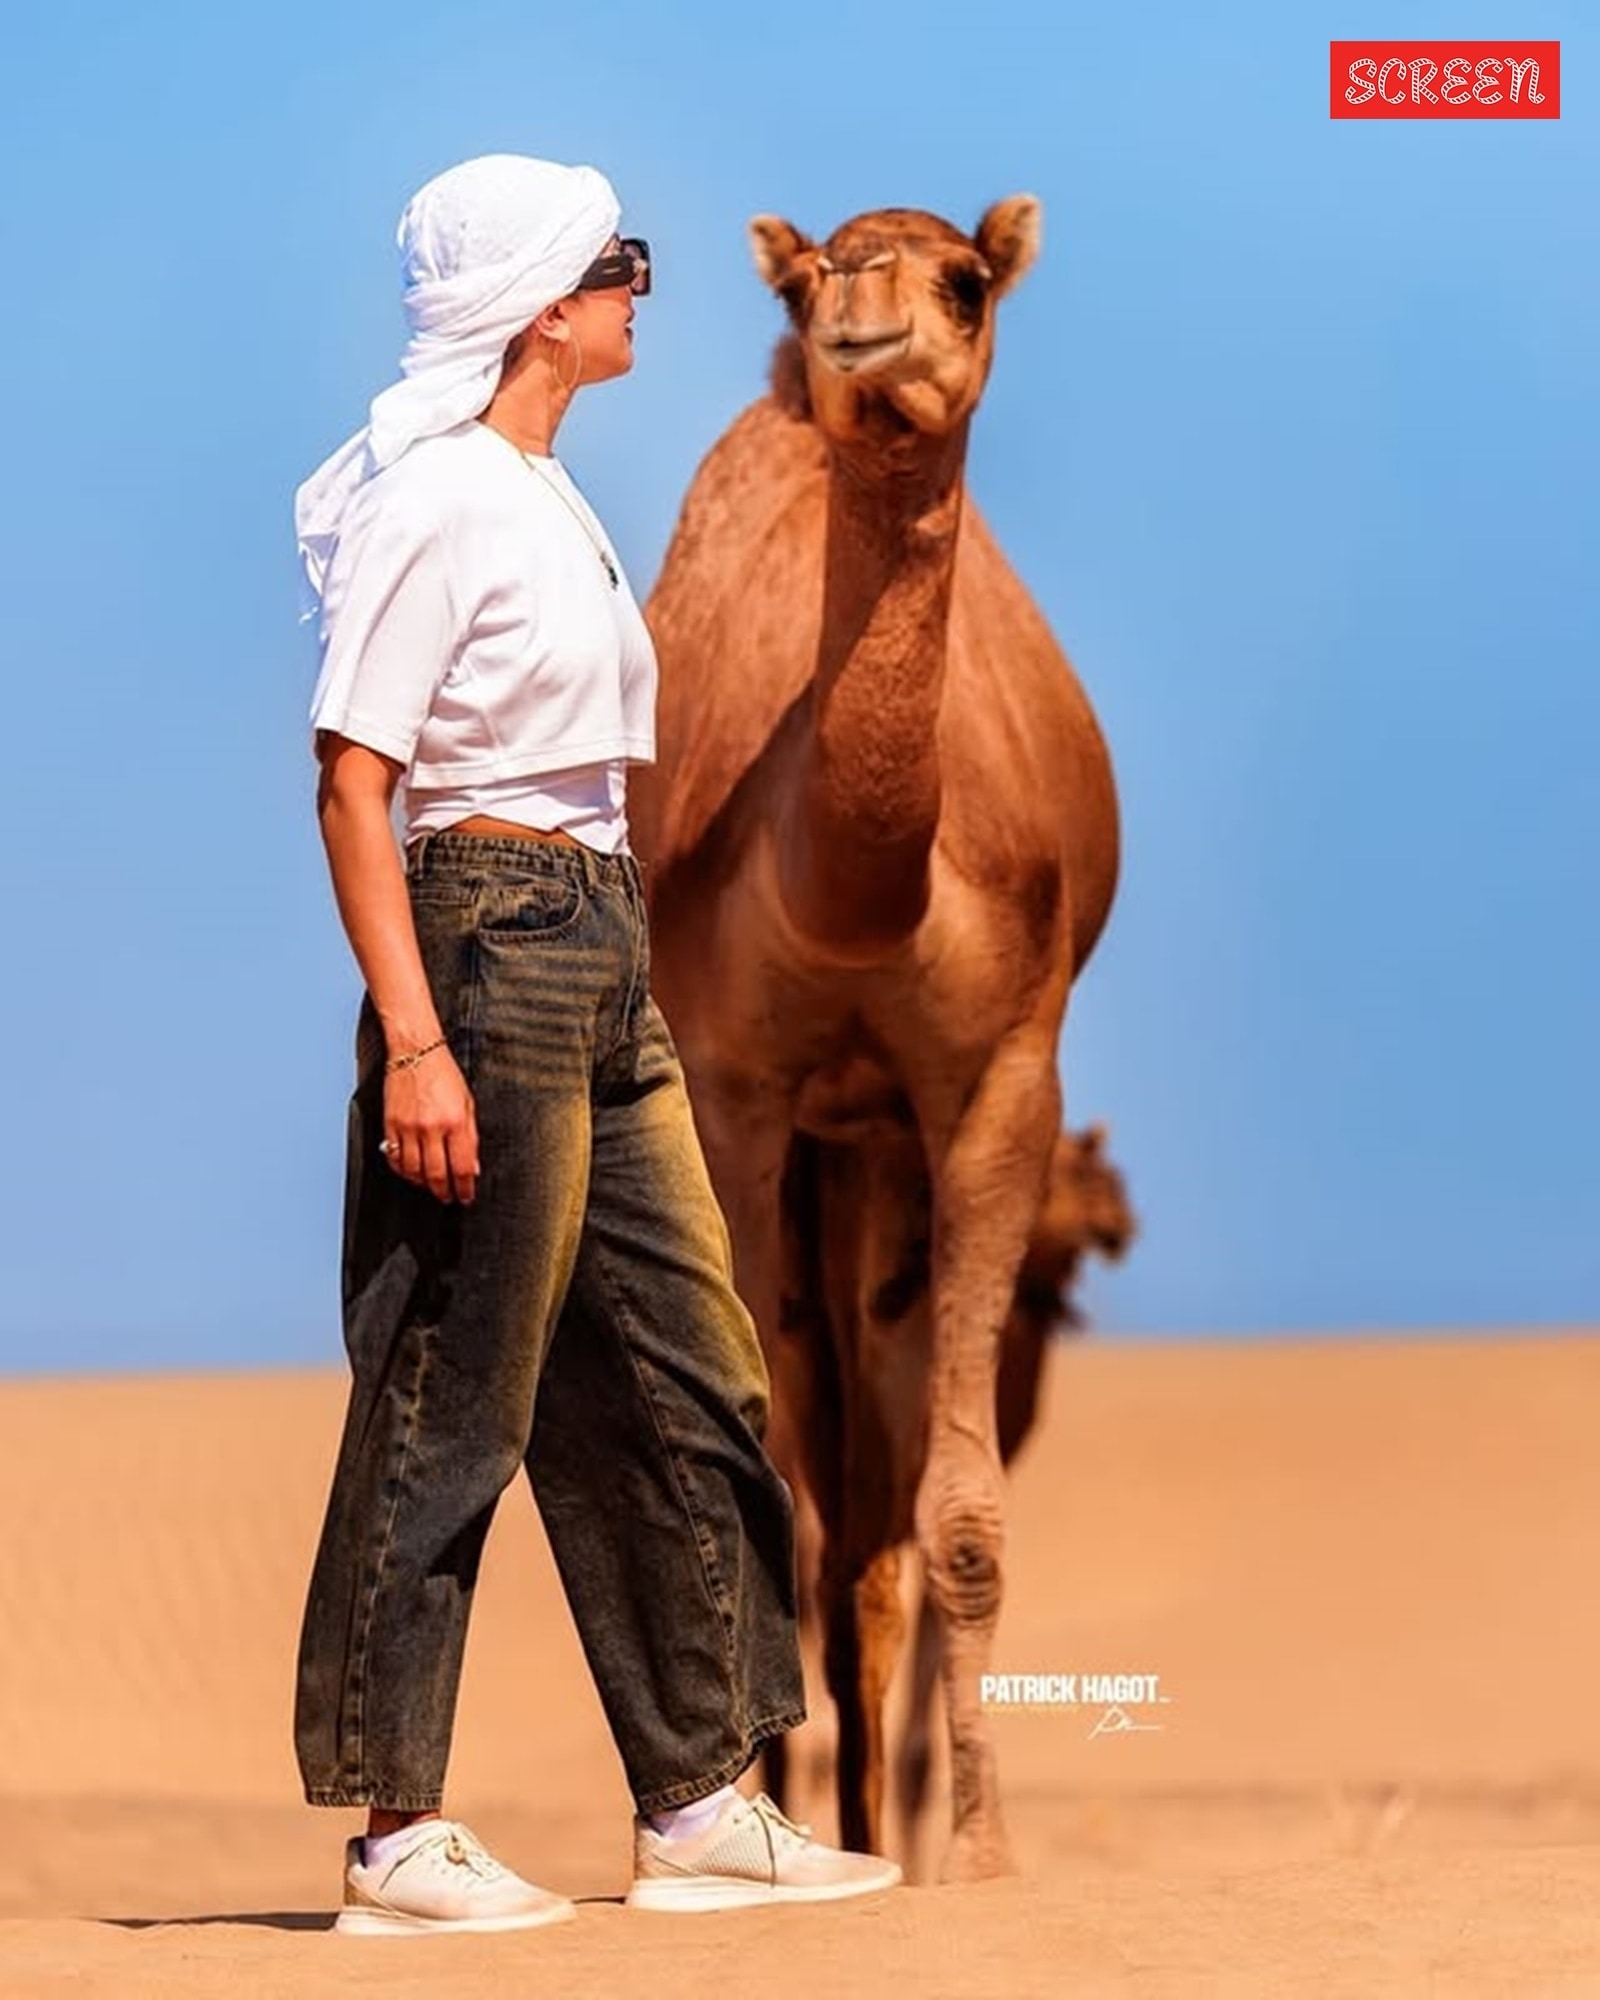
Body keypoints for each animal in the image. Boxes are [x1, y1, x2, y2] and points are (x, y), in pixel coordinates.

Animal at [632, 195, 1120, 1880]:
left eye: (966, 281)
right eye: (811, 277)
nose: (858, 322)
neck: (852, 890)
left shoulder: (996, 1084)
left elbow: (957, 1519)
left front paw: (977, 1857)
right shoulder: (741, 1093)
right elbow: (770, 1493)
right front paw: (755, 1831)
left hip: (885, 1159)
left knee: (879, 1523)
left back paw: (878, 1829)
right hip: (814, 1156)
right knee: (829, 1507)